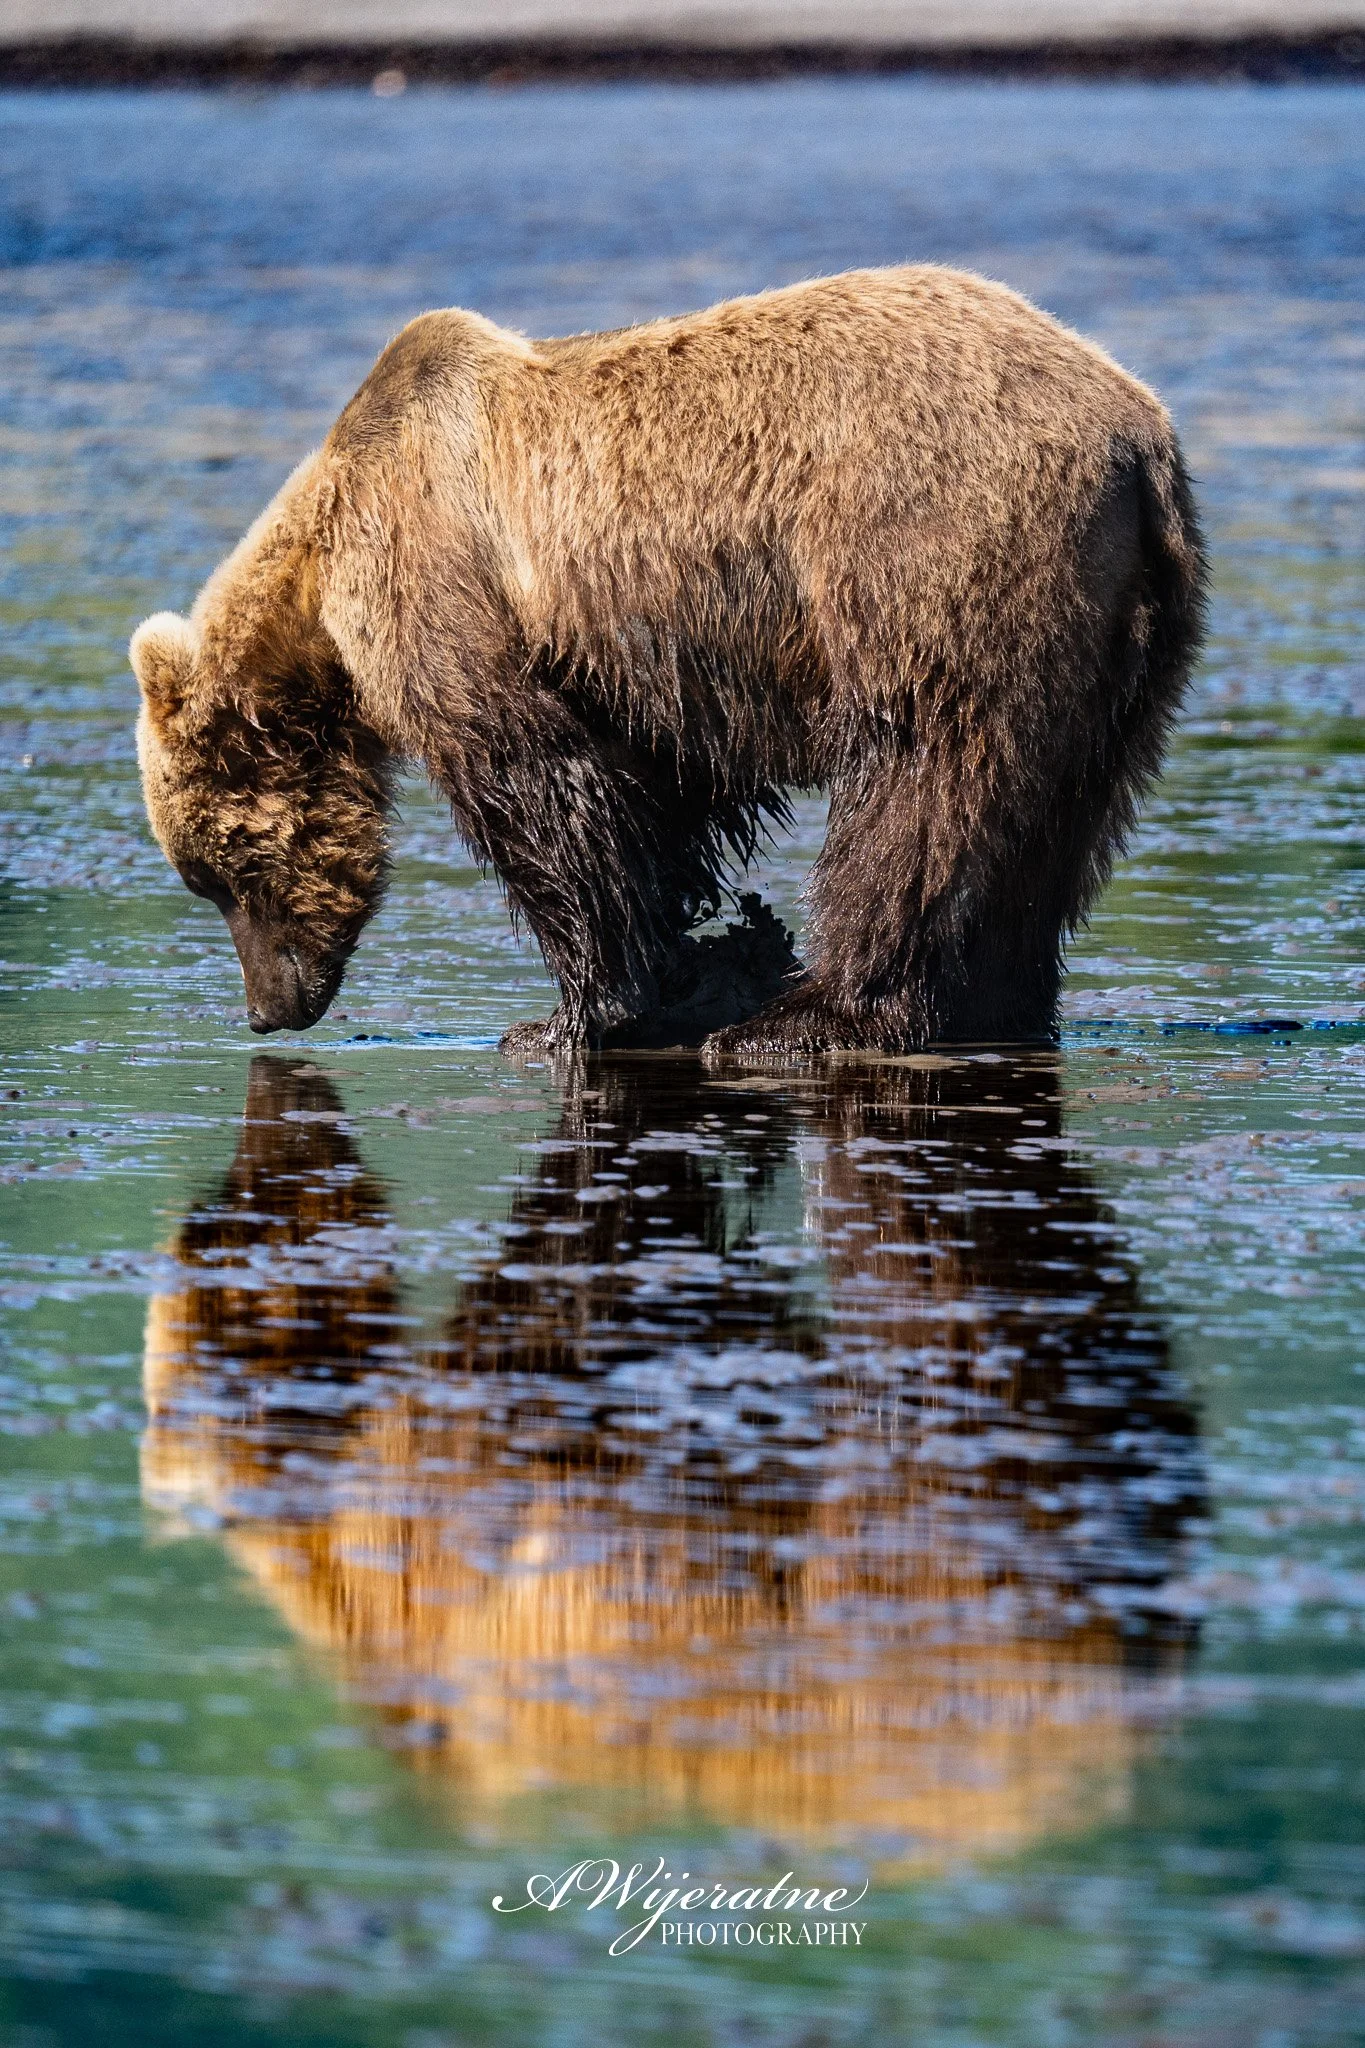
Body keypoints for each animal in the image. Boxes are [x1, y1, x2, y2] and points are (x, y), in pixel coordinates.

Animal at [131, 265, 1205, 1054]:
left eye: (218, 877)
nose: (269, 1009)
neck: (319, 591)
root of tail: (1135, 432)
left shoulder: (439, 581)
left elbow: (535, 785)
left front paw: (574, 1013)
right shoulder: (633, 671)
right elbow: (657, 800)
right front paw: (712, 956)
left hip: (927, 546)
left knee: (920, 784)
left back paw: (817, 1018)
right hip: (1122, 634)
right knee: (1059, 818)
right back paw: (994, 1003)